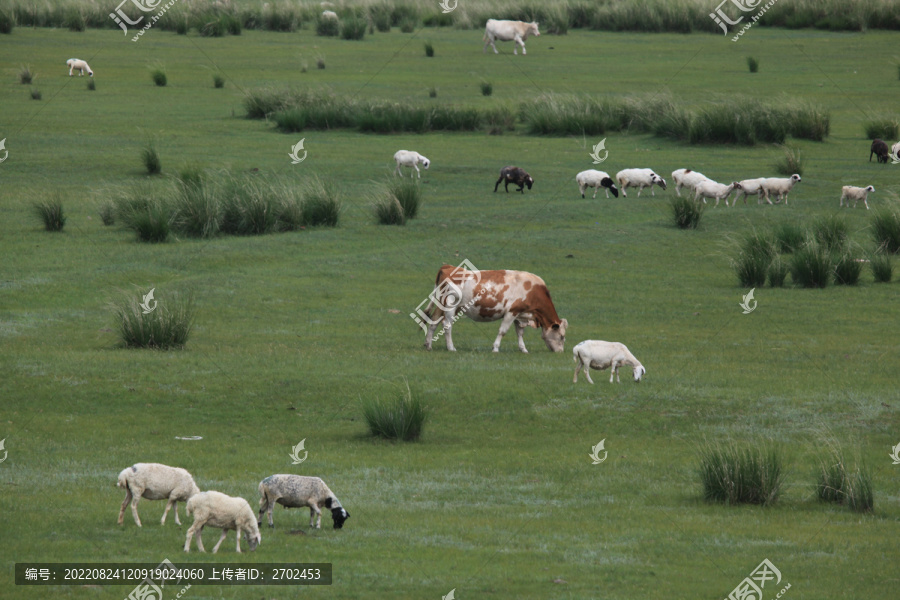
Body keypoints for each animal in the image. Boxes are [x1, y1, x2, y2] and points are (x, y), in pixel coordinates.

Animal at [424, 262, 568, 352]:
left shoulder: (520, 314)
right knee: (447, 325)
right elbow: (502, 331)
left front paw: (523, 349)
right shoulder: (511, 312)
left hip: (442, 305)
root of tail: (449, 267)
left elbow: (520, 333)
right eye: (562, 337)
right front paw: (495, 348)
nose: (560, 352)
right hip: (450, 306)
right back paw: (451, 348)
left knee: (433, 322)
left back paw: (428, 345)